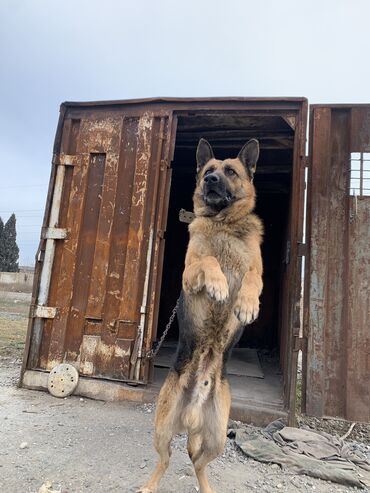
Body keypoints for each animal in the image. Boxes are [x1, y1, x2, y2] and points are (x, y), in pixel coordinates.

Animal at [139, 137, 264, 492]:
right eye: (208, 169)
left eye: (230, 171)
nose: (209, 179)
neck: (223, 224)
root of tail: (193, 410)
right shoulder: (189, 273)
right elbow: (208, 261)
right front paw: (219, 285)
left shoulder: (256, 270)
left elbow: (252, 277)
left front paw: (247, 303)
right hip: (162, 429)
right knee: (166, 460)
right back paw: (149, 485)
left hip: (218, 438)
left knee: (198, 463)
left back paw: (207, 487)